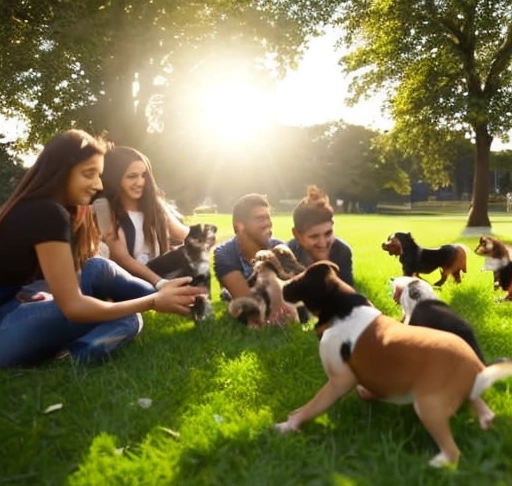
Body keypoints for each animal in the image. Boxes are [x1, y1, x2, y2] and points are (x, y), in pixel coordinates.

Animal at [276, 260, 512, 468]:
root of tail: (477, 367)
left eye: (297, 279)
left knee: (452, 451)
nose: (282, 286)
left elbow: (312, 406)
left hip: (429, 407)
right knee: (482, 408)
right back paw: (485, 422)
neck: (343, 308)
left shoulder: (339, 381)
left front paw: (288, 425)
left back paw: (436, 463)